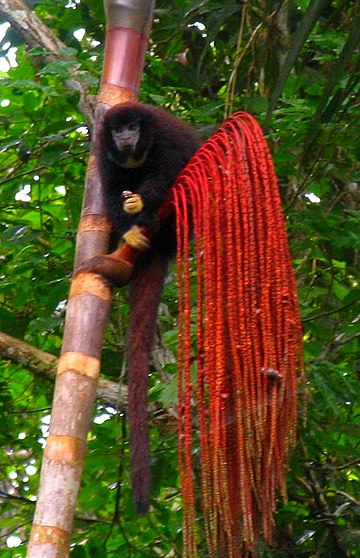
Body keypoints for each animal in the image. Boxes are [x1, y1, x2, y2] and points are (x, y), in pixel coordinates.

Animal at [88, 104, 201, 516]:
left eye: (134, 127)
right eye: (118, 129)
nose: (125, 136)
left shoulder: (167, 138)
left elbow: (175, 167)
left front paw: (141, 203)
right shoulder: (103, 155)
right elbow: (109, 193)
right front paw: (129, 225)